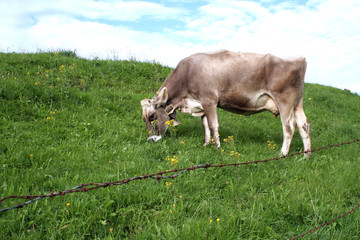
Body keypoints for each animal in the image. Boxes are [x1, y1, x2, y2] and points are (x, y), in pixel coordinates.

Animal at [142, 49, 310, 157]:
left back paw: (282, 153)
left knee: (289, 127)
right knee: (304, 125)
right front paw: (206, 144)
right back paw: (306, 155)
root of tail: (299, 59)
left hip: (284, 101)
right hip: (297, 103)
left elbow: (213, 125)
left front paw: (217, 147)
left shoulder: (209, 99)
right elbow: (205, 125)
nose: (150, 141)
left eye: (152, 116)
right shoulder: (202, 104)